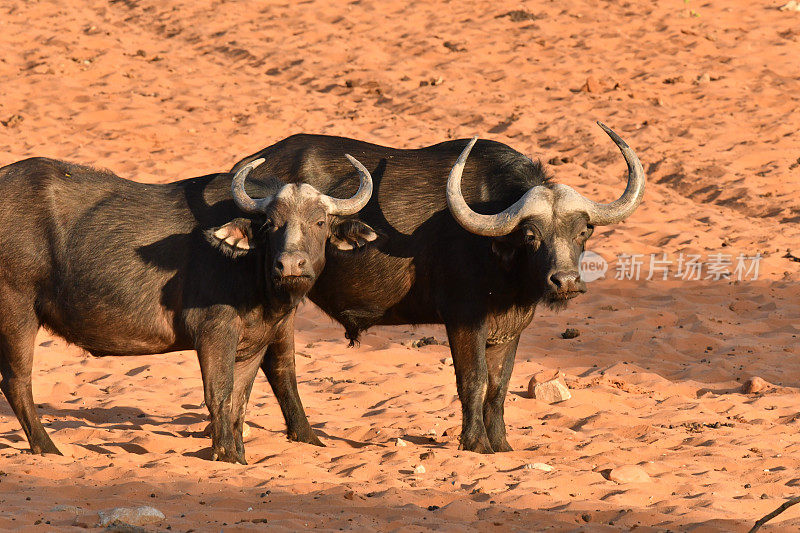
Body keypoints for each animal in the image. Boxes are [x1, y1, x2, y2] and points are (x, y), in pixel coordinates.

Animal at [0, 154, 376, 462]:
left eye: (320, 223)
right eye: (271, 224)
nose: (290, 265)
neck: (252, 270)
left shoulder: (255, 343)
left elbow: (240, 401)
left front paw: (240, 454)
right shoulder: (214, 333)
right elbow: (219, 394)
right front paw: (226, 455)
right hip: (17, 311)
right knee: (17, 382)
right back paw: (47, 447)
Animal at [234, 123, 648, 454]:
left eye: (583, 231)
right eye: (531, 235)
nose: (565, 281)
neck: (496, 251)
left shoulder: (510, 327)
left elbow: (499, 386)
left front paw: (502, 445)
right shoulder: (464, 319)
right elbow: (474, 380)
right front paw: (476, 444)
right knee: (278, 361)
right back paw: (306, 435)